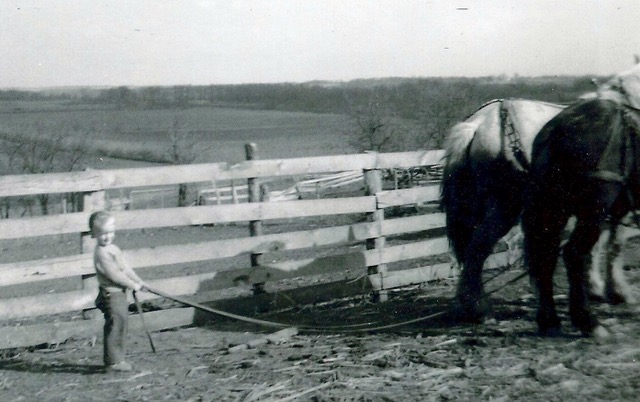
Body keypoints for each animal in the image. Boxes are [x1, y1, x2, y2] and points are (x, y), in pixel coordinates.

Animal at [524, 68, 640, 336]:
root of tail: (557, 129)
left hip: (554, 207)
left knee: (547, 254)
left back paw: (549, 320)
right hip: (593, 207)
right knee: (575, 253)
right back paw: (588, 321)